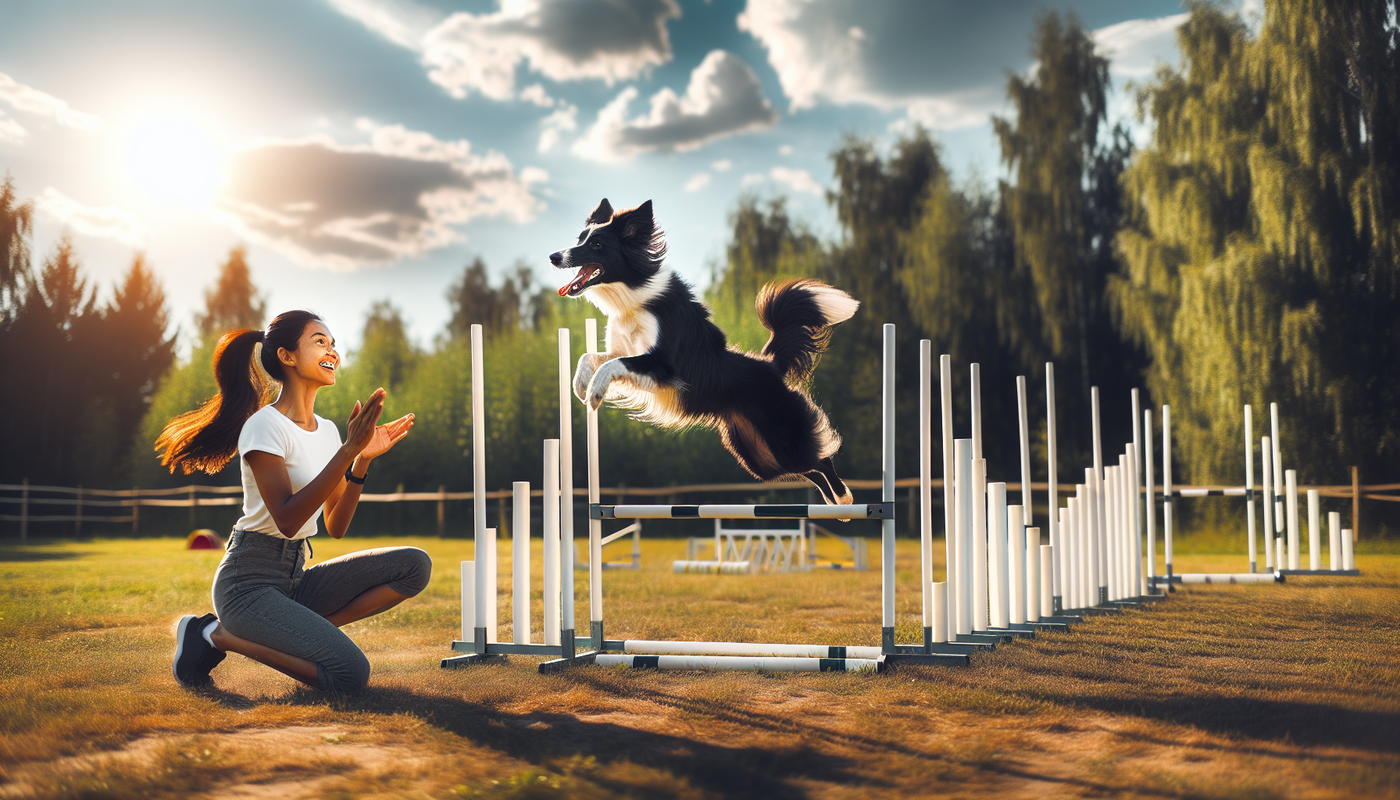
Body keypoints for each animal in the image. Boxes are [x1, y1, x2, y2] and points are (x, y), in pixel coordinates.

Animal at [548, 197, 856, 504]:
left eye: (597, 244)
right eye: (580, 239)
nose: (553, 256)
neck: (632, 296)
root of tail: (771, 364)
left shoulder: (662, 366)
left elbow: (611, 366)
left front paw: (595, 391)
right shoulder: (626, 353)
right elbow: (592, 357)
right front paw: (581, 385)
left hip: (783, 440)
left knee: (819, 459)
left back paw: (844, 497)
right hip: (757, 455)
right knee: (808, 469)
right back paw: (833, 500)